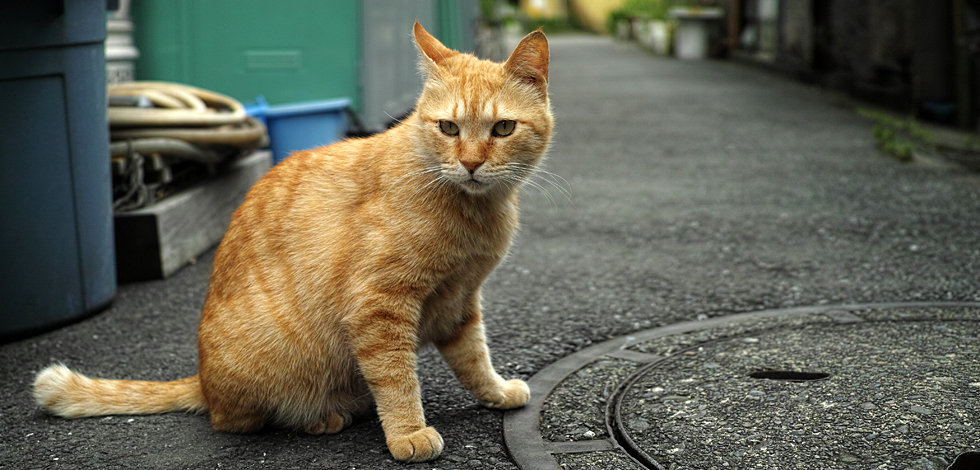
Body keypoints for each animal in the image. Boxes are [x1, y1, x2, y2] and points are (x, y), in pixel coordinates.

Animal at [32, 23, 552, 460]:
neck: (472, 211)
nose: (471, 164)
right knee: (239, 421)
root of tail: (203, 381)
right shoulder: (378, 306)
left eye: (503, 128)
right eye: (448, 127)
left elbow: (474, 357)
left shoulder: (459, 300)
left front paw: (497, 393)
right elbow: (396, 377)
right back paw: (322, 418)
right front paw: (407, 432)